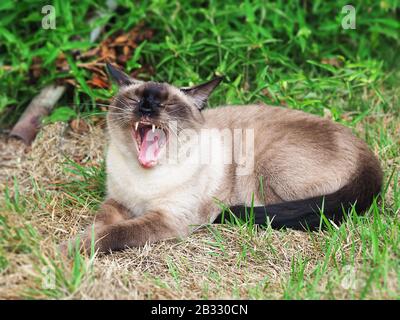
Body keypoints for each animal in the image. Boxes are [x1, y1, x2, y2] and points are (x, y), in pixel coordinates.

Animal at [61, 62, 382, 252]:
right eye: (136, 98)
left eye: (167, 103)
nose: (147, 107)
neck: (145, 177)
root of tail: (368, 155)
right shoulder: (117, 202)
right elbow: (101, 223)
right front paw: (79, 241)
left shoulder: (169, 219)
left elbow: (115, 233)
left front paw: (69, 251)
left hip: (267, 168)